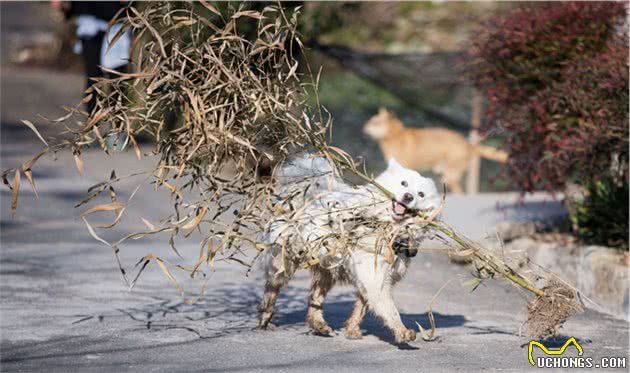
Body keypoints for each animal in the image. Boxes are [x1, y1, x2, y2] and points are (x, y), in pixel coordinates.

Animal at [260, 154, 442, 342]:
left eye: (421, 194)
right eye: (403, 183)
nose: (408, 196)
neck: (390, 230)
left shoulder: (375, 279)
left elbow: (360, 308)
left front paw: (352, 330)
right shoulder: (376, 280)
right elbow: (391, 310)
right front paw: (402, 331)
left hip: (327, 269)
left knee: (315, 299)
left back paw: (319, 324)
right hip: (283, 262)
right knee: (272, 288)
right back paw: (265, 318)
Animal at [366, 107, 508, 193]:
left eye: (375, 123)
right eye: (371, 121)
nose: (364, 127)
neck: (395, 136)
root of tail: (468, 144)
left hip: (450, 176)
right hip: (444, 175)